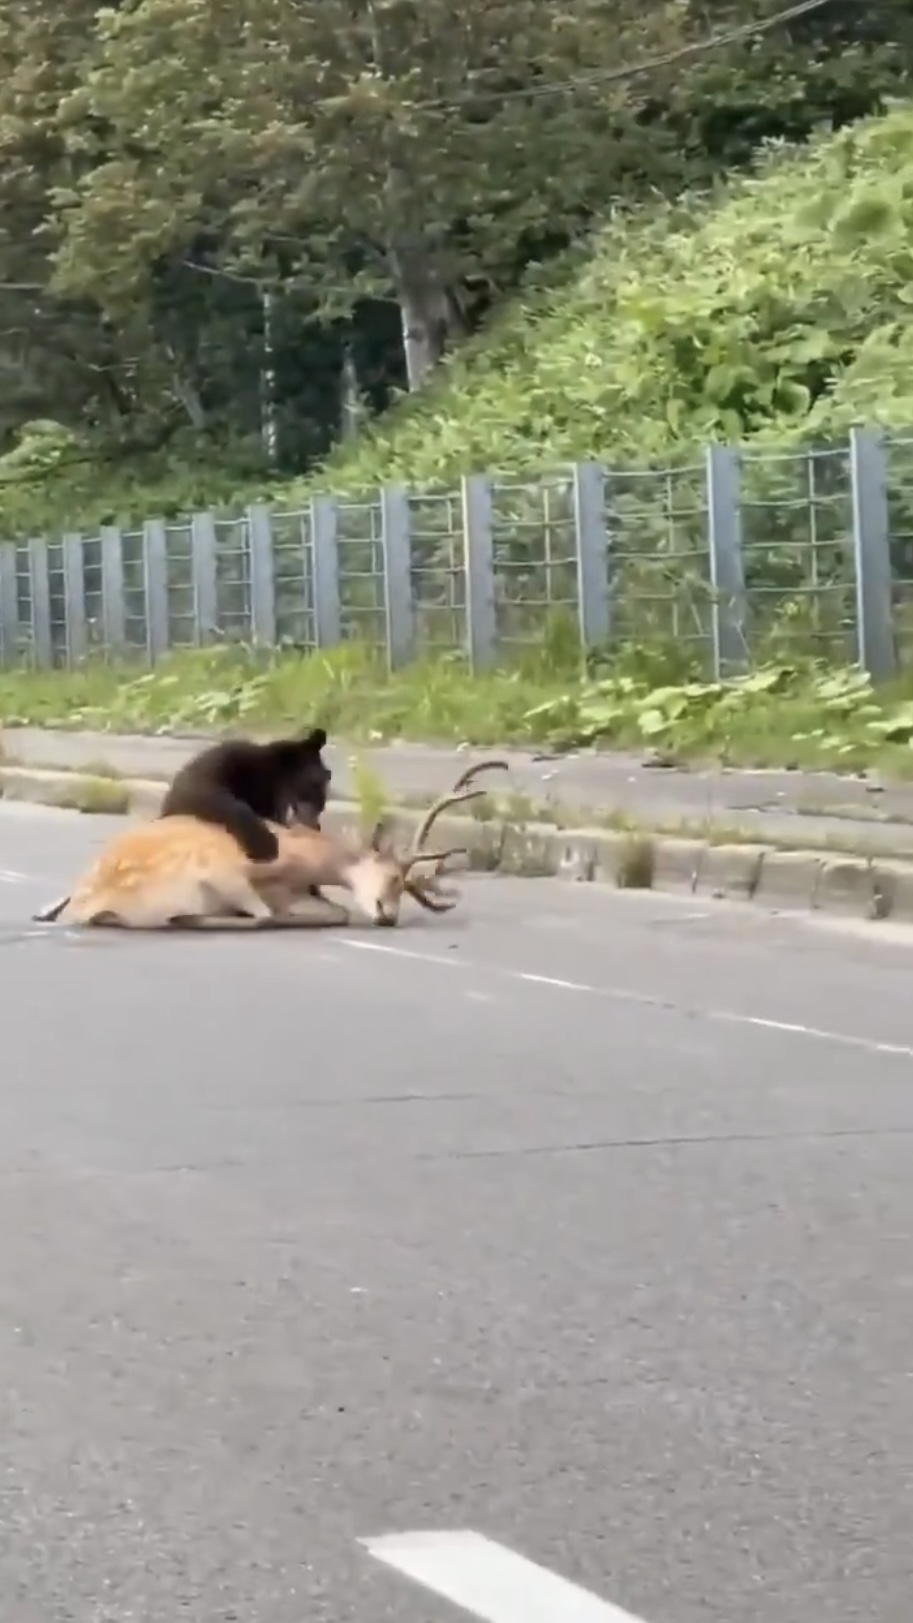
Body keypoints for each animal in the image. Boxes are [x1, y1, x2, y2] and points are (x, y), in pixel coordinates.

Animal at [34, 758, 510, 931]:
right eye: (394, 875)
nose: (388, 917)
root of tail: (93, 902)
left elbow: (332, 910)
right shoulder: (230, 870)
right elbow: (274, 913)